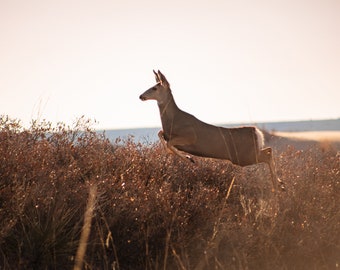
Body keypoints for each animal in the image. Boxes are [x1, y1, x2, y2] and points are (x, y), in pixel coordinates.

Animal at [138, 70, 284, 191]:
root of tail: (256, 132)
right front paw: (188, 157)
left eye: (155, 87)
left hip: (243, 157)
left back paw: (277, 186)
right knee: (269, 150)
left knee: (268, 154)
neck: (173, 119)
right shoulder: (168, 135)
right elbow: (161, 135)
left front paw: (189, 159)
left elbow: (169, 144)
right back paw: (280, 184)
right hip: (248, 154)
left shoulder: (190, 136)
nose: (141, 96)